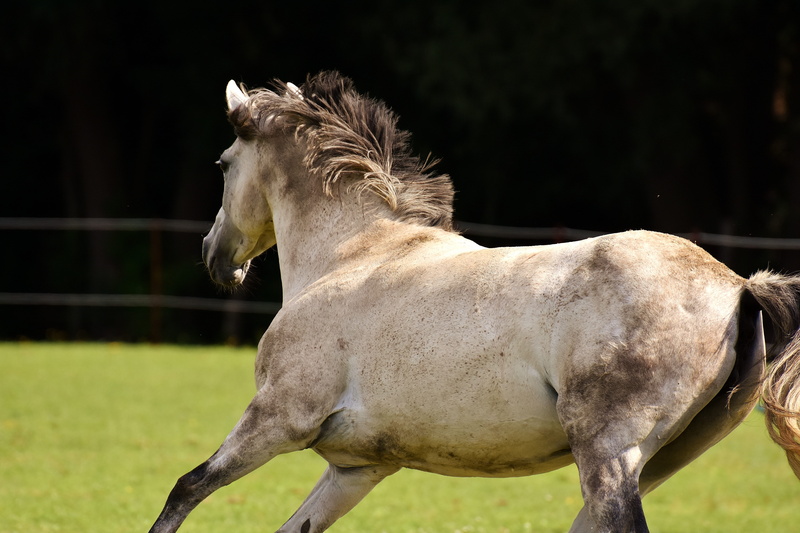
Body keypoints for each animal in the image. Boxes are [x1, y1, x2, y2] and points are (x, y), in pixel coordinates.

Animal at [150, 71, 800, 533]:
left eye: (222, 165)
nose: (215, 256)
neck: (352, 254)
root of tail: (738, 286)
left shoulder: (279, 417)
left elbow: (186, 487)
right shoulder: (358, 467)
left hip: (609, 453)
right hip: (659, 460)